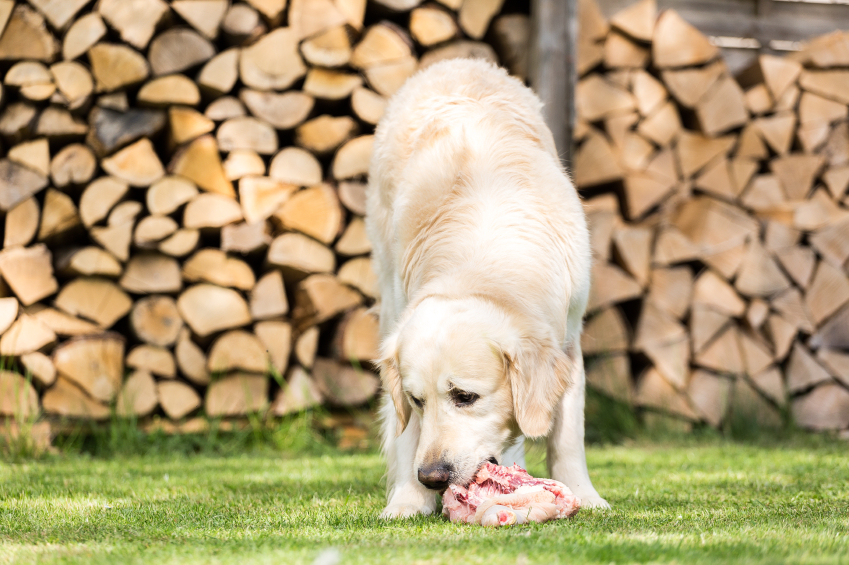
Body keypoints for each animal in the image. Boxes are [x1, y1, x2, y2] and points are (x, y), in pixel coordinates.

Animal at [362, 59, 604, 516]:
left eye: (465, 396)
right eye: (417, 400)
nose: (432, 477)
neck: (484, 262)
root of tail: (456, 62)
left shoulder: (568, 340)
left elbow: (567, 435)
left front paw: (584, 495)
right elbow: (407, 433)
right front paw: (407, 501)